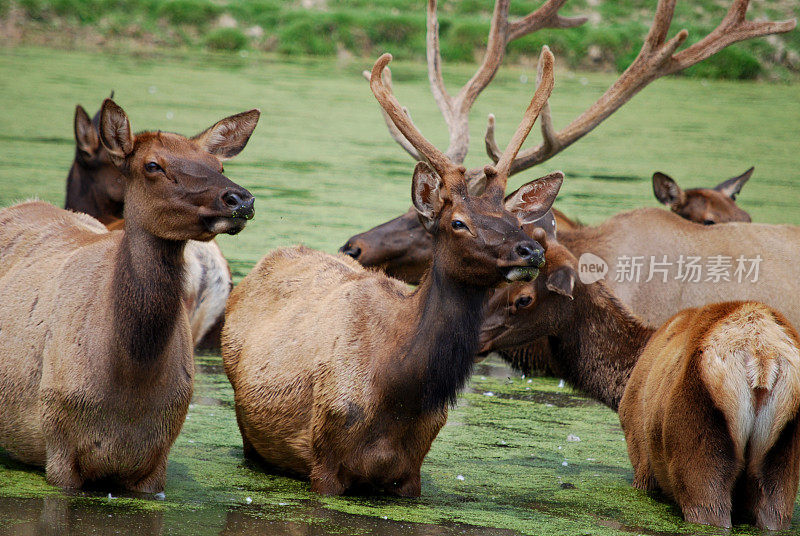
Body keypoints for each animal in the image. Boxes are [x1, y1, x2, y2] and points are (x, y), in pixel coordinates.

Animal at [223, 48, 564, 496]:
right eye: (458, 222)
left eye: (515, 220)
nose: (531, 250)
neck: (398, 390)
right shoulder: (323, 462)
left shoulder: (410, 475)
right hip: (248, 431)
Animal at [478, 241, 800, 528]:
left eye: (523, 298)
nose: (475, 335)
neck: (622, 384)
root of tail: (761, 357)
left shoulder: (641, 457)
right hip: (781, 471)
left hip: (699, 453)